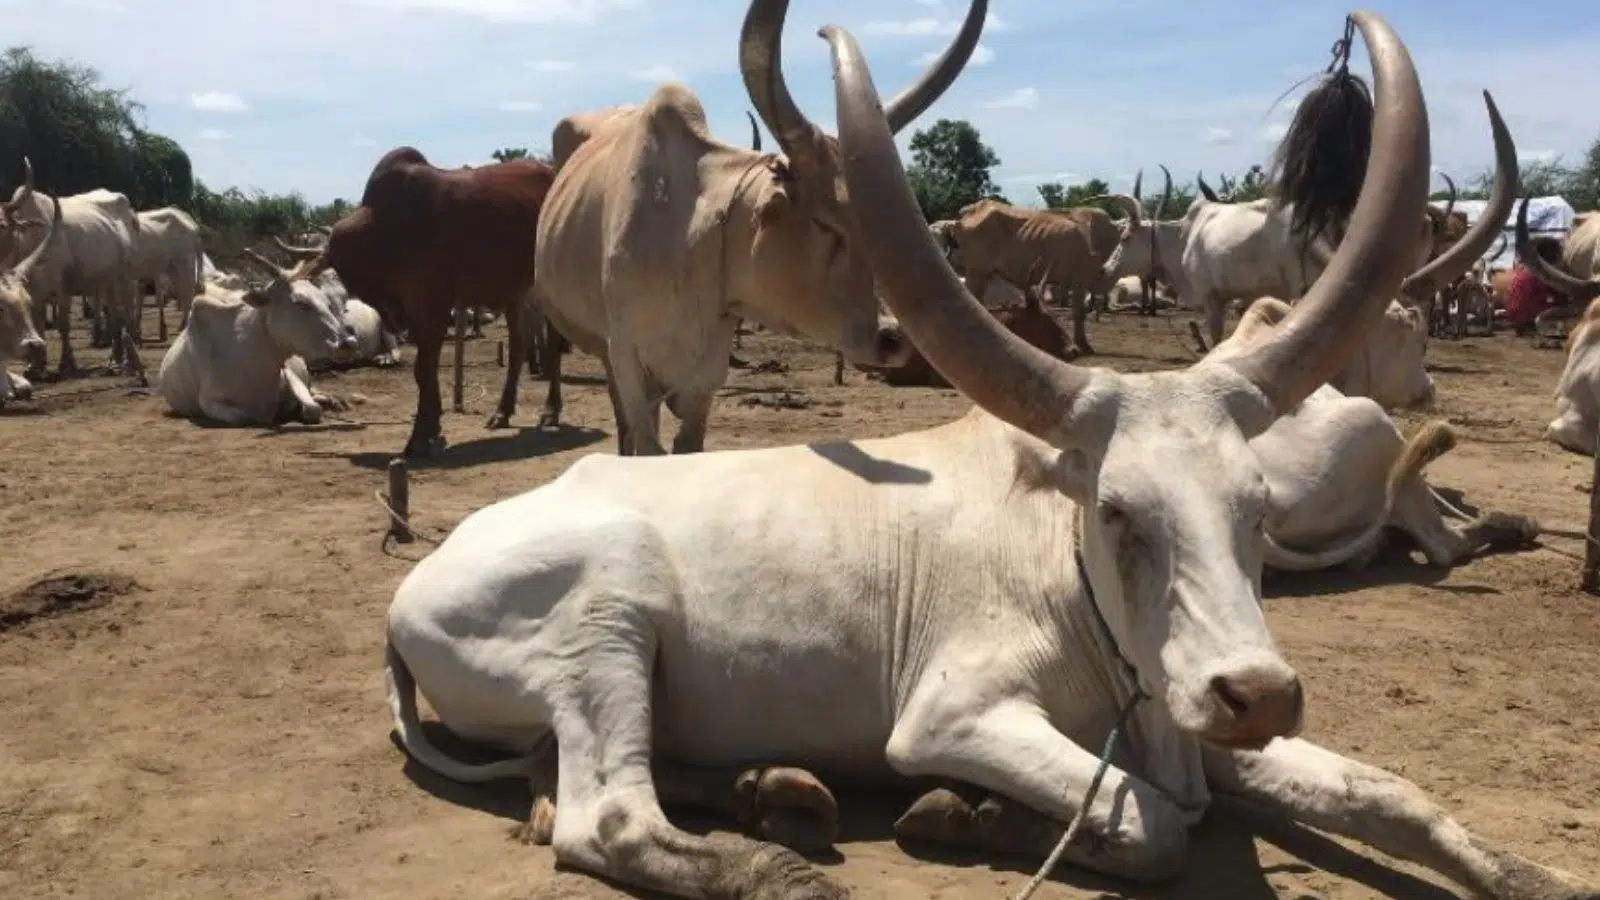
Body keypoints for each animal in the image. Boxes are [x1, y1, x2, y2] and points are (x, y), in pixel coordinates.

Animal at [156, 248, 356, 422]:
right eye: (300, 303)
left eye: (326, 302)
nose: (349, 342)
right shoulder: (209, 402)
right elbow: (254, 416)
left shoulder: (289, 371)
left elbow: (313, 408)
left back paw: (333, 400)